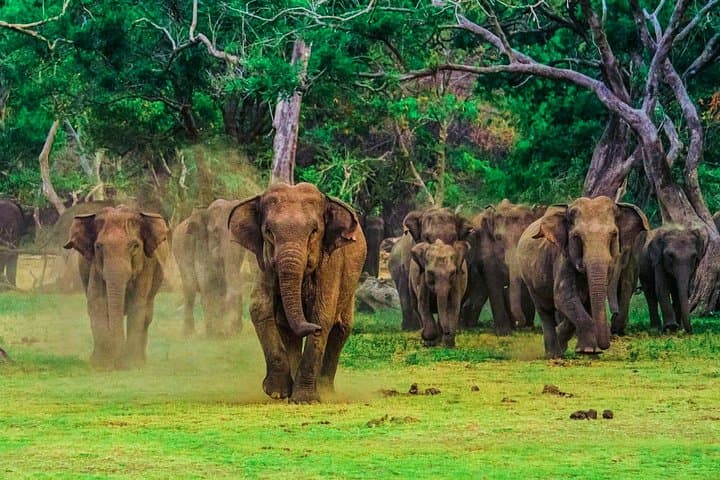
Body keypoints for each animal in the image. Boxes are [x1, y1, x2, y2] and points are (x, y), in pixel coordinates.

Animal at [63, 205, 169, 369]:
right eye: (98, 246)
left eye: (135, 246)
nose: (117, 362)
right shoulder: (95, 265)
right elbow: (97, 302)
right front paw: (102, 365)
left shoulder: (147, 264)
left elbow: (138, 304)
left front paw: (130, 365)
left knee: (147, 315)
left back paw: (141, 361)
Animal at [173, 199, 252, 337]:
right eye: (215, 232)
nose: (235, 331)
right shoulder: (201, 244)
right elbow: (207, 281)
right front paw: (215, 335)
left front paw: (225, 333)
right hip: (180, 252)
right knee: (190, 289)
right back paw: (189, 334)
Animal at [228, 183, 366, 403]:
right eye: (268, 231)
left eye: (314, 231)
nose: (312, 328)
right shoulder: (265, 264)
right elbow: (259, 308)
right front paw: (277, 393)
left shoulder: (331, 263)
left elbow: (322, 315)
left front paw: (305, 400)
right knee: (288, 330)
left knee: (341, 329)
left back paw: (325, 391)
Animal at [462, 200, 546, 334]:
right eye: (498, 238)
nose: (518, 324)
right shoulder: (487, 246)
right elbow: (493, 280)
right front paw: (504, 332)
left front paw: (527, 328)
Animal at [517, 197, 648, 358]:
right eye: (576, 237)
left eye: (614, 235)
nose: (605, 345)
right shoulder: (562, 258)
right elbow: (564, 297)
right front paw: (588, 351)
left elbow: (584, 301)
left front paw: (588, 350)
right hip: (530, 279)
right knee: (544, 310)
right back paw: (554, 354)